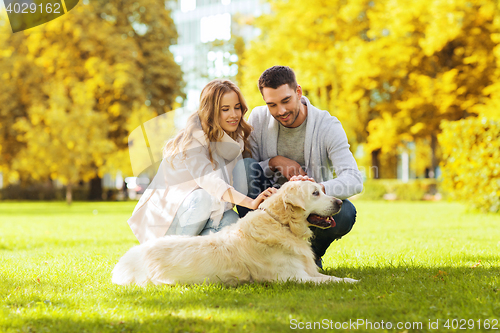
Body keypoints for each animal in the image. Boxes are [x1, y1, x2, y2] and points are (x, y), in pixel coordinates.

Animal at [111, 180, 358, 284]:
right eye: (315, 193)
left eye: (322, 190)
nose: (339, 202)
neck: (282, 224)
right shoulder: (293, 277)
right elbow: (330, 281)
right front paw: (352, 283)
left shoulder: (307, 271)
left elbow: (330, 277)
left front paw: (350, 279)